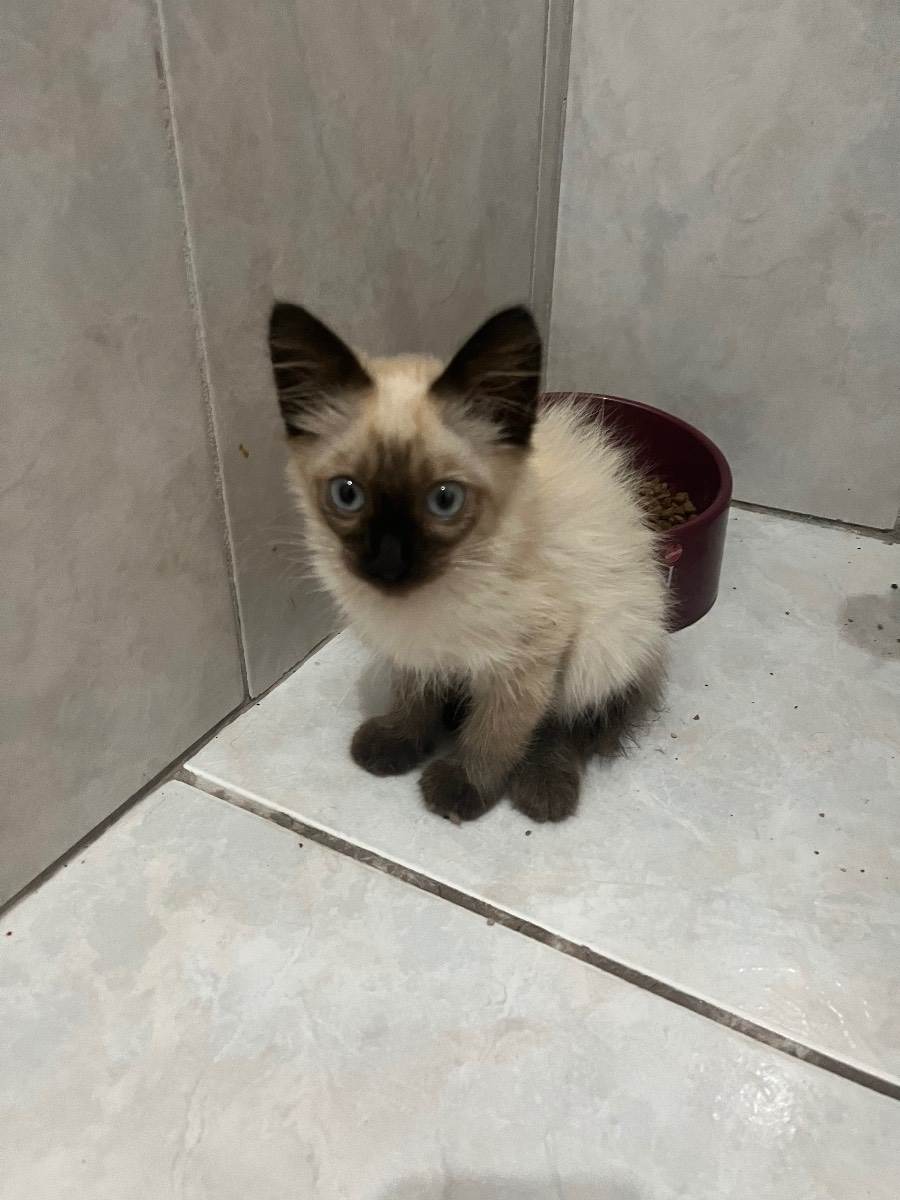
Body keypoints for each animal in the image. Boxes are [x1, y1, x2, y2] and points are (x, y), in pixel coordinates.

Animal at [267, 301, 667, 823]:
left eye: (444, 501)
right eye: (347, 495)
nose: (389, 564)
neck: (422, 606)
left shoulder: (533, 652)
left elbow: (498, 731)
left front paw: (463, 786)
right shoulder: (414, 648)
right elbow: (414, 696)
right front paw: (400, 740)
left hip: (602, 647)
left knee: (569, 718)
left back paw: (543, 790)